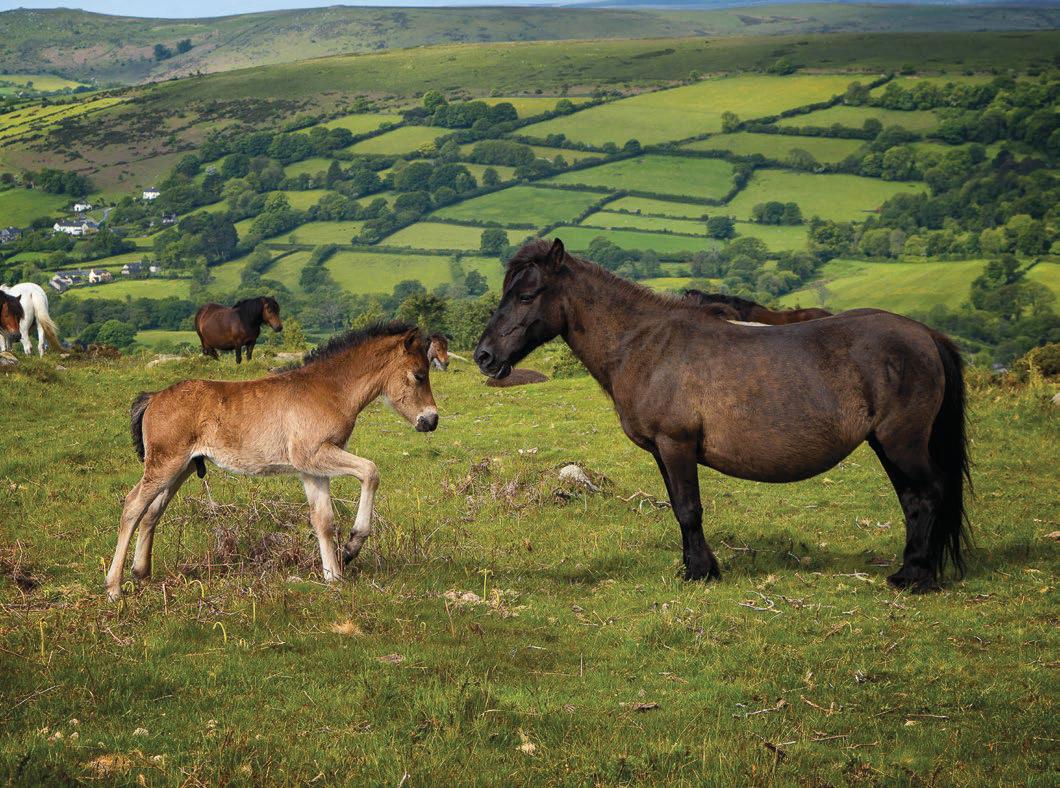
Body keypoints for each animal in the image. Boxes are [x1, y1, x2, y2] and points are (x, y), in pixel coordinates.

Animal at [105, 321, 439, 601]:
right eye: (419, 375)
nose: (431, 420)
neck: (328, 389)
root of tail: (154, 397)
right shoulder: (314, 454)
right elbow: (371, 471)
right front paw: (352, 547)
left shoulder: (311, 468)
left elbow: (323, 519)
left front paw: (334, 576)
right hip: (165, 464)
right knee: (133, 506)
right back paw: (114, 588)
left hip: (181, 468)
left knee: (152, 513)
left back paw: (141, 573)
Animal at [475, 239, 970, 592]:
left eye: (527, 295)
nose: (484, 356)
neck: (645, 345)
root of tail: (925, 335)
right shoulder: (662, 451)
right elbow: (679, 508)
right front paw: (696, 567)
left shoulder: (676, 444)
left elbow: (689, 509)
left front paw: (700, 572)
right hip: (888, 444)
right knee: (913, 499)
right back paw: (910, 570)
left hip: (901, 442)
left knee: (928, 494)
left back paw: (916, 578)